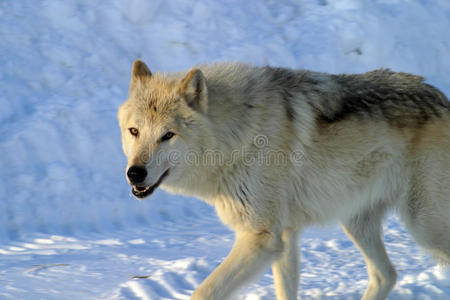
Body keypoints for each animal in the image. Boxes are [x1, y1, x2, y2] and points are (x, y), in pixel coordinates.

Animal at [118, 59, 448, 298]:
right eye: (134, 131)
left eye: (168, 135)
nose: (134, 173)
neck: (236, 135)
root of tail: (442, 98)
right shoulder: (286, 237)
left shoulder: (262, 238)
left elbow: (202, 292)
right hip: (356, 223)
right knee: (386, 275)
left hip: (422, 227)